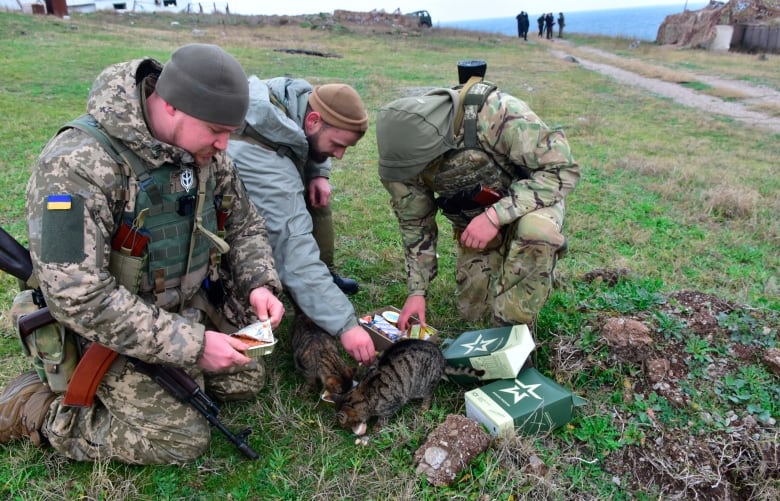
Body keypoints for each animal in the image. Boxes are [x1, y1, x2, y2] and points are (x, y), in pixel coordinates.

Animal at [332, 340, 484, 434]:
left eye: (343, 424)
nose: (342, 428)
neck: (364, 393)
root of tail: (442, 358)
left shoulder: (393, 403)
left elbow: (384, 417)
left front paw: (378, 425)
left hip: (423, 384)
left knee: (429, 395)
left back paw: (424, 408)